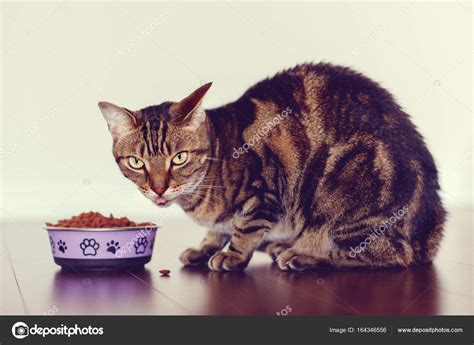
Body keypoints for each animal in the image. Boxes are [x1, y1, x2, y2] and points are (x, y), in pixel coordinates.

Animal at [98, 63, 446, 270]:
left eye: (179, 158)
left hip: (342, 191)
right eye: (136, 162)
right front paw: (204, 248)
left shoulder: (263, 194)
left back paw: (302, 253)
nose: (158, 188)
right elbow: (216, 231)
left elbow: (244, 228)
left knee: (389, 255)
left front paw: (232, 254)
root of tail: (431, 230)